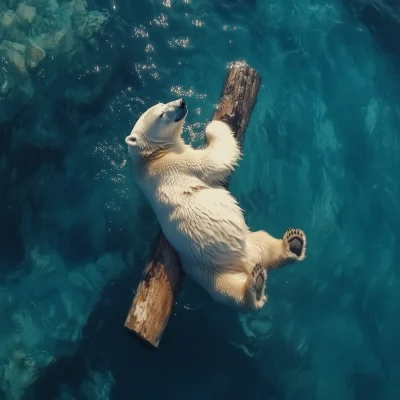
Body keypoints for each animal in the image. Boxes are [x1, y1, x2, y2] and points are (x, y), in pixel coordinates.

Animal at [125, 98, 306, 310]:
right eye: (161, 114)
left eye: (163, 102)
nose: (181, 102)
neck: (150, 156)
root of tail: (247, 262)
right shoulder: (175, 162)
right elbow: (214, 159)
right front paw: (213, 127)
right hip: (209, 270)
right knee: (229, 291)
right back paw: (254, 287)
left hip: (249, 242)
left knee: (267, 243)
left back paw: (293, 242)